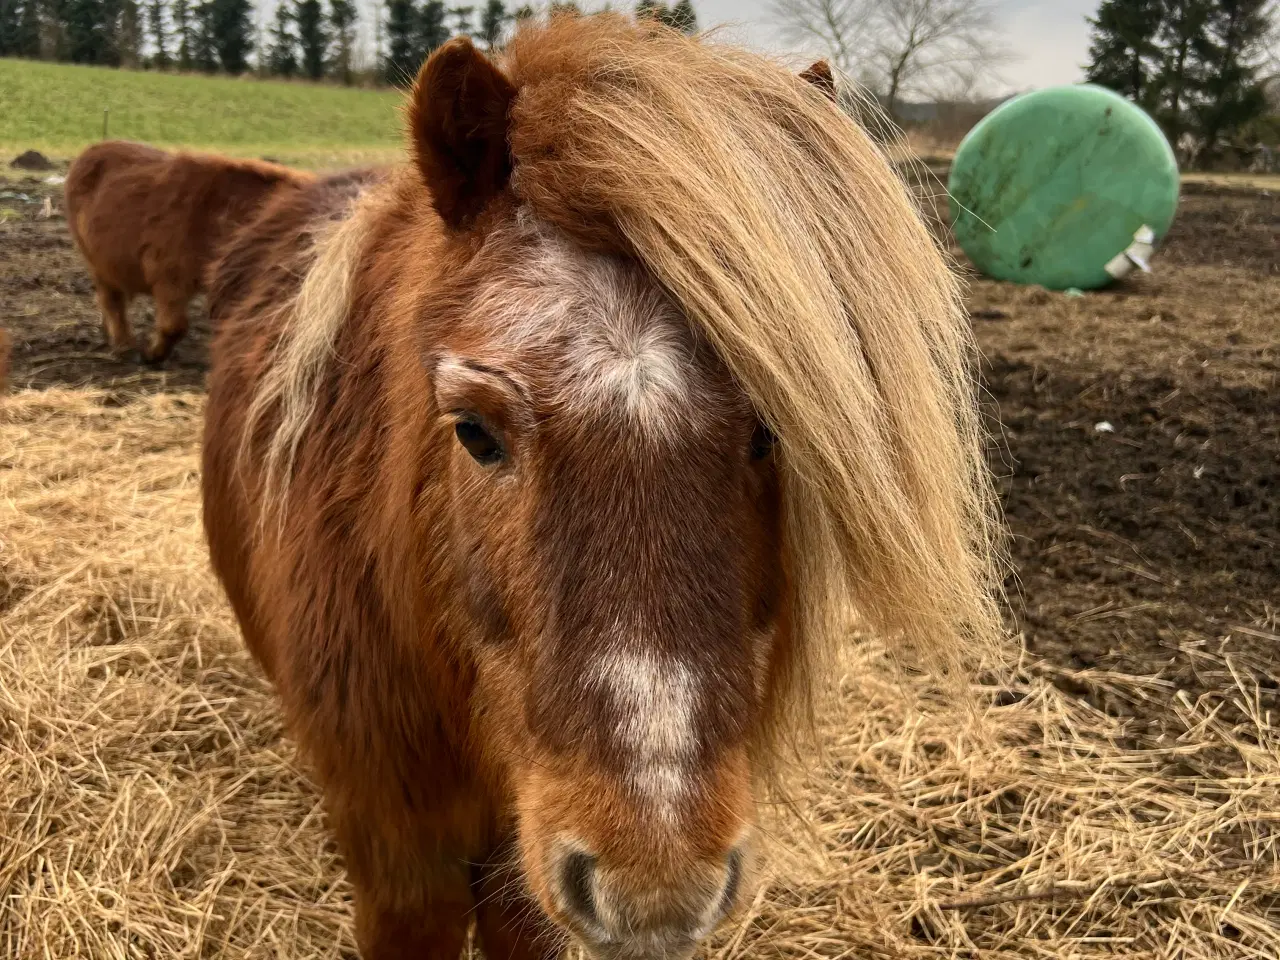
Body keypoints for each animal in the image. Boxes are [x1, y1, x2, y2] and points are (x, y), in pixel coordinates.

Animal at [65, 142, 314, 363]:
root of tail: (91, 150)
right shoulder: (167, 272)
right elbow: (174, 325)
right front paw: (152, 356)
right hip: (94, 258)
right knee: (111, 299)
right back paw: (124, 346)